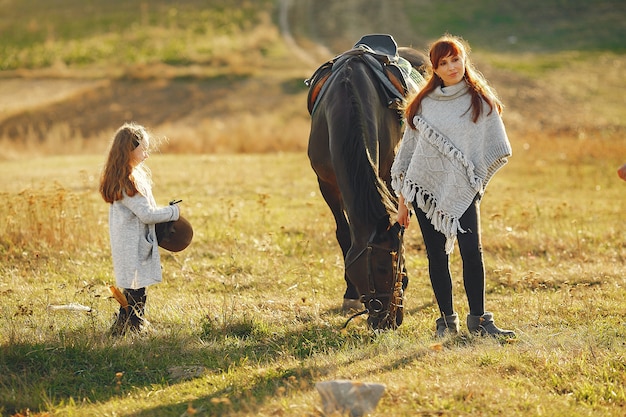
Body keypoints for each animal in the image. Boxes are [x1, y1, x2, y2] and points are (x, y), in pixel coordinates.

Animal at [306, 35, 426, 328]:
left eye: (395, 263)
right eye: (380, 267)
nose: (390, 320)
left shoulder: (389, 176)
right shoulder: (327, 184)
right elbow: (344, 234)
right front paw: (349, 294)